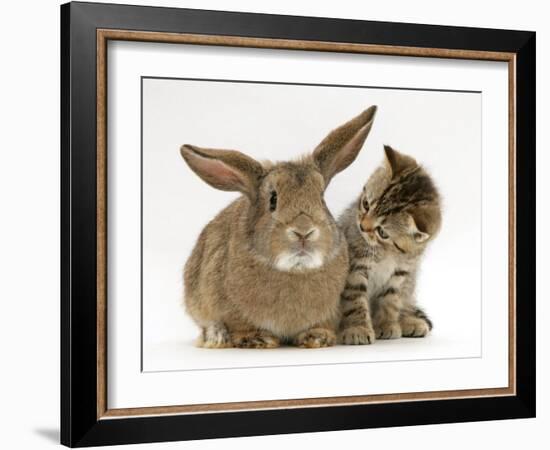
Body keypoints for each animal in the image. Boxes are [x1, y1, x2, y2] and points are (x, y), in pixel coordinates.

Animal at [181, 105, 380, 348]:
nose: (303, 232)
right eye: (273, 200)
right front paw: (258, 339)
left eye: (321, 198)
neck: (295, 269)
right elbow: (240, 326)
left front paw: (317, 337)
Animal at [338, 146, 442, 342]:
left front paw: (386, 325)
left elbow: (391, 301)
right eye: (366, 204)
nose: (362, 227)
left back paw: (410, 321)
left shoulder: (402, 272)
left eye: (382, 232)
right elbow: (355, 298)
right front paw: (358, 328)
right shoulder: (356, 266)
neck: (387, 252)